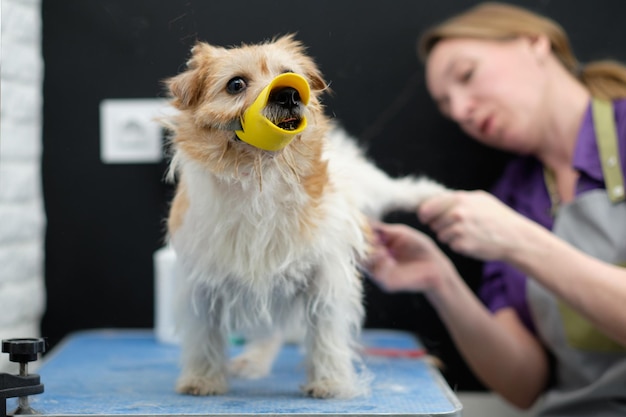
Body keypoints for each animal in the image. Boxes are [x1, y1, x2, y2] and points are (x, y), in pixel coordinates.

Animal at [161, 34, 444, 398]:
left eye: (289, 74)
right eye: (235, 84)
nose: (288, 93)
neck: (260, 178)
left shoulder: (326, 276)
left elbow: (326, 333)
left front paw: (330, 382)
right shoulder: (201, 283)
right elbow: (203, 335)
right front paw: (203, 378)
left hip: (372, 186)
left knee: (400, 189)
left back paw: (437, 196)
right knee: (270, 331)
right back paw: (254, 361)